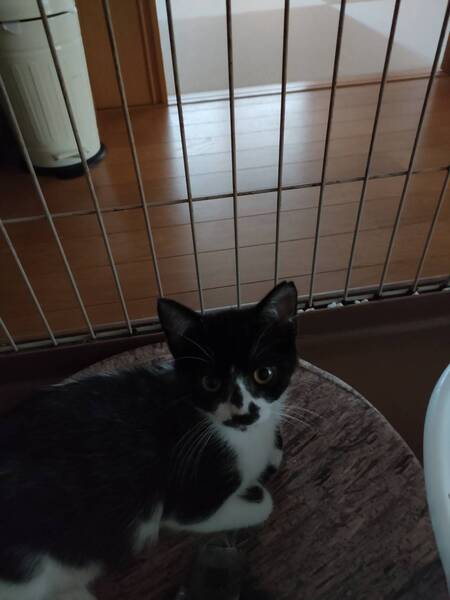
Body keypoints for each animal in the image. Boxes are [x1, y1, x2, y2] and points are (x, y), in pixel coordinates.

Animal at [0, 281, 298, 600]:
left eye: (264, 374)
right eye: (210, 383)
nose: (243, 413)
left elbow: (274, 449)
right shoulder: (184, 502)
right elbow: (261, 503)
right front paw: (253, 490)